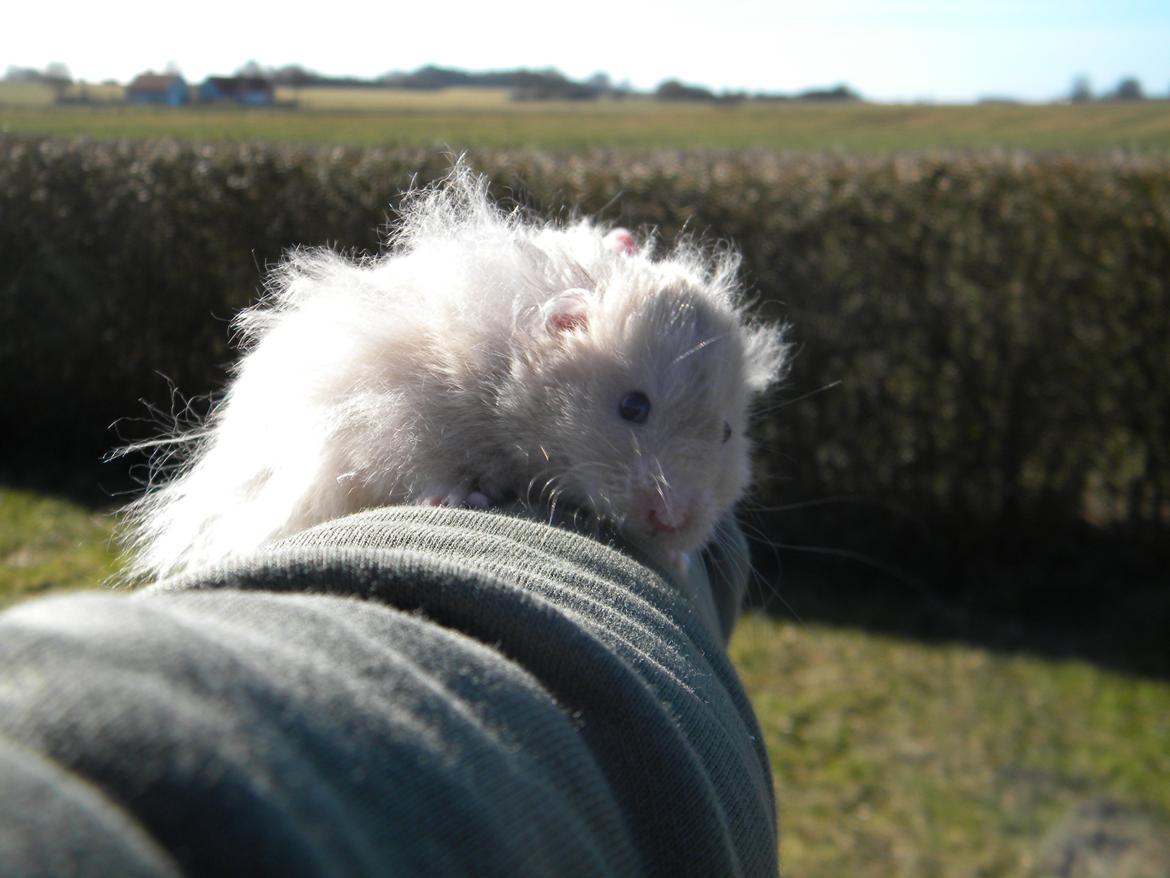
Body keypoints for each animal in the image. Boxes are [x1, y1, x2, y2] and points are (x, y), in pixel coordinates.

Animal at [120, 163, 789, 581]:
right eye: (633, 407)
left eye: (728, 433)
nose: (675, 523)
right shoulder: (387, 410)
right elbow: (416, 462)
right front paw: (464, 497)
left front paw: (676, 561)